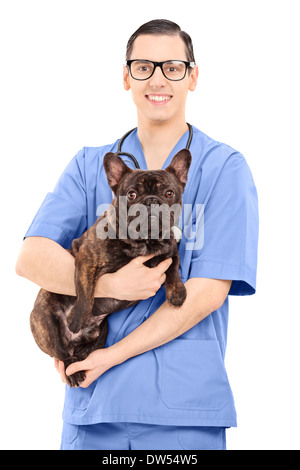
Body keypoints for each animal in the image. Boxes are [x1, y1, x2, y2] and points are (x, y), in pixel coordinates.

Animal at [29, 150, 190, 386]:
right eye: (131, 195)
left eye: (169, 193)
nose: (151, 201)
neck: (144, 242)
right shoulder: (87, 258)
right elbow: (85, 292)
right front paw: (76, 318)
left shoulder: (170, 249)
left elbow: (173, 268)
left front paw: (177, 292)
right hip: (46, 322)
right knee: (61, 352)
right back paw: (72, 368)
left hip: (102, 331)